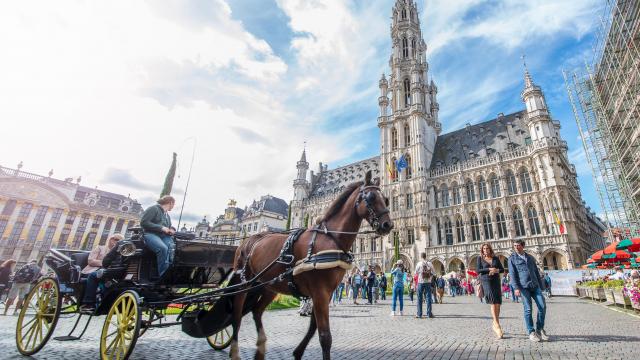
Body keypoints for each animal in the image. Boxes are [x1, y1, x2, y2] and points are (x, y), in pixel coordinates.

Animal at [228, 170, 392, 358]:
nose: (388, 224)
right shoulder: (320, 292)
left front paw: (298, 352)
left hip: (268, 286)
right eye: (371, 197)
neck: (330, 239)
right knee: (237, 314)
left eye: (386, 199)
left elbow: (314, 328)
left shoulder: (325, 293)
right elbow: (325, 336)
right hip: (244, 283)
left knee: (256, 312)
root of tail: (246, 240)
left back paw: (261, 346)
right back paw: (235, 350)